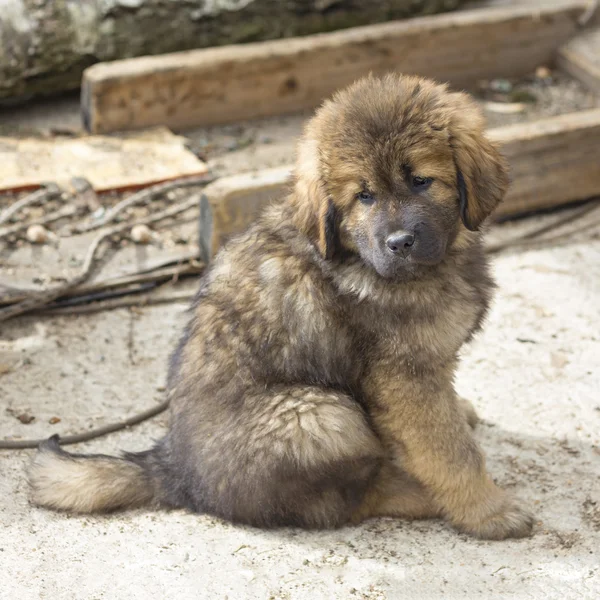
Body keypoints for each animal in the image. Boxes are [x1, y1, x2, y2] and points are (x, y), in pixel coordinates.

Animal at [29, 74, 536, 540]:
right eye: (364, 196)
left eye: (421, 181)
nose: (399, 243)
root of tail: (172, 469)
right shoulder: (405, 377)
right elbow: (451, 453)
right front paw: (489, 512)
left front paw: (460, 414)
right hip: (320, 416)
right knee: (343, 501)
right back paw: (415, 493)